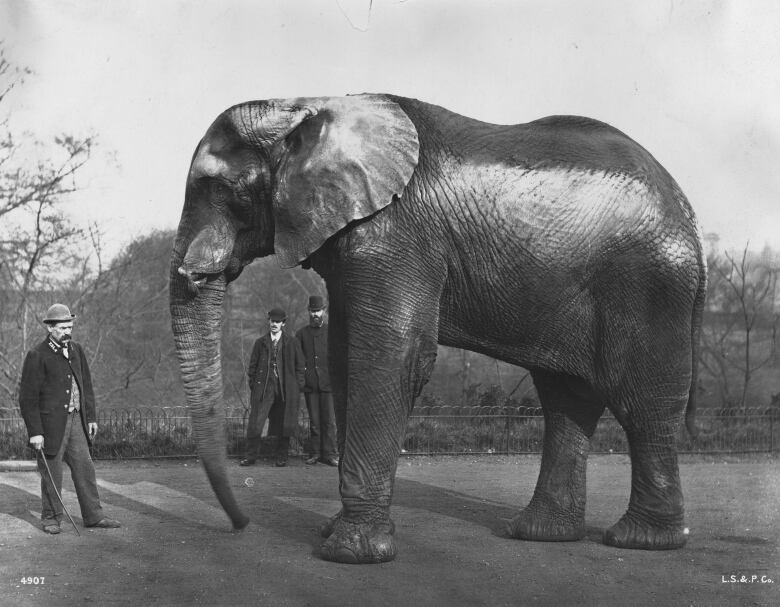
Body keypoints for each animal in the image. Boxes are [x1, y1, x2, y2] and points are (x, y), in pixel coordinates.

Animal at [171, 94, 708, 564]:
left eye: (220, 191)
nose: (239, 525)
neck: (307, 103)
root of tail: (689, 211)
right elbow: (344, 359)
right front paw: (336, 533)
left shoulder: (396, 234)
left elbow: (391, 355)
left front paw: (347, 553)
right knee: (566, 400)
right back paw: (538, 534)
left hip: (648, 285)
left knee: (641, 403)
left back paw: (639, 541)